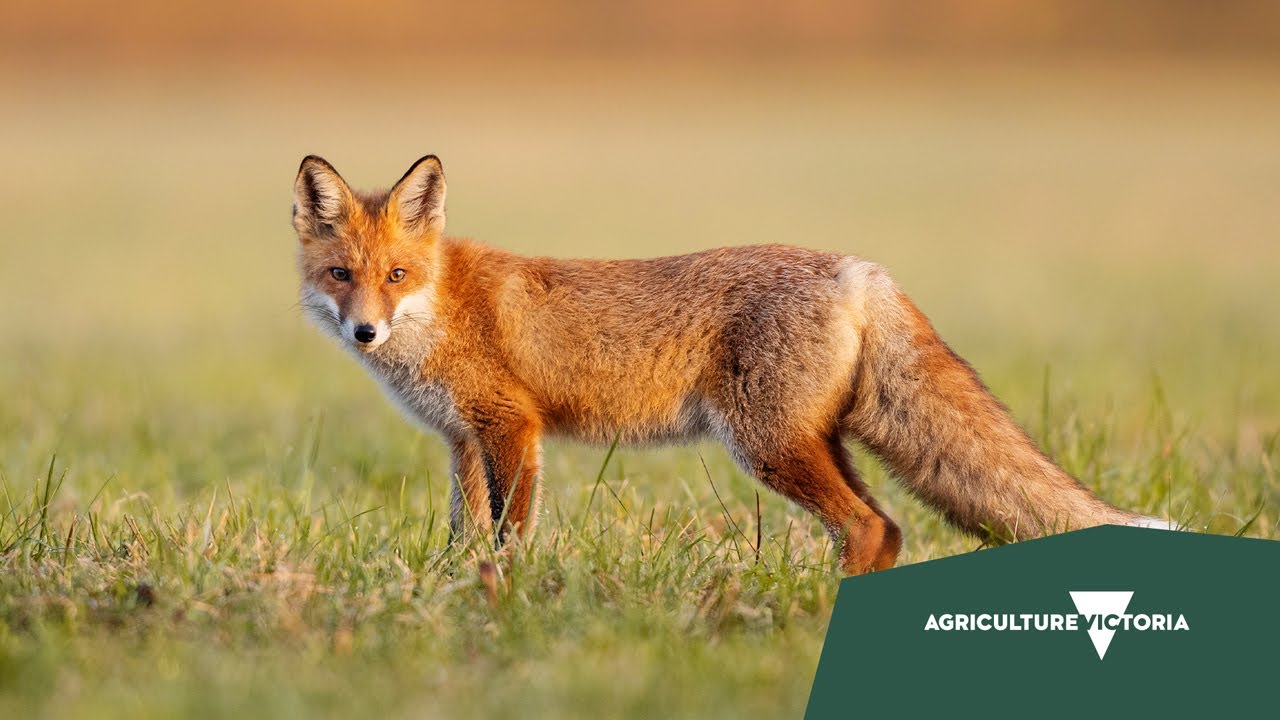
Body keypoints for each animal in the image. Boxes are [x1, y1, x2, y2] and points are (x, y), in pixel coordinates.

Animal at [292, 154, 1171, 575]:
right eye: (341, 275)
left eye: (395, 275)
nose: (364, 331)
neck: (444, 304)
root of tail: (859, 269)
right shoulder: (462, 441)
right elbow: (463, 529)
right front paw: (456, 581)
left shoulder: (512, 429)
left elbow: (509, 531)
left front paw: (501, 592)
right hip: (816, 442)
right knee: (886, 527)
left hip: (766, 445)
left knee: (867, 524)